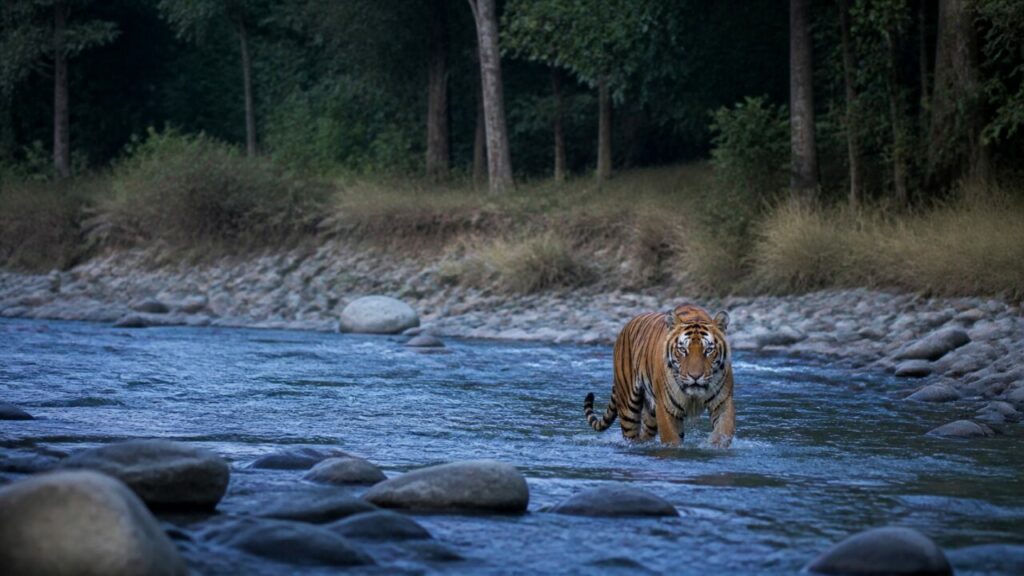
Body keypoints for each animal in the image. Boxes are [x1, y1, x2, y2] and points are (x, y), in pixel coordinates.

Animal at [583, 303, 735, 448]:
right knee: (631, 436)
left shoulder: (723, 403)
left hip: (650, 414)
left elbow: (723, 433)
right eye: (682, 349)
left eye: (708, 350)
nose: (695, 376)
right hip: (628, 407)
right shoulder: (666, 408)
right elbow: (672, 440)